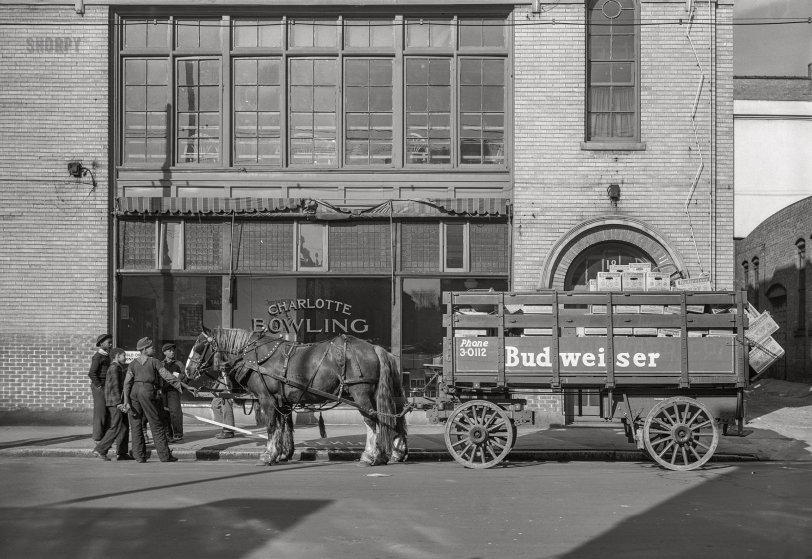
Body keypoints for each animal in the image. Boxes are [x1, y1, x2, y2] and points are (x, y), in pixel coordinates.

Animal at [186, 328, 410, 468]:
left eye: (199, 347)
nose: (187, 370)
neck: (254, 357)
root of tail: (374, 348)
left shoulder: (267, 399)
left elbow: (271, 426)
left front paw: (268, 455)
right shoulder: (281, 400)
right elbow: (284, 426)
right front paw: (282, 453)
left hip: (360, 393)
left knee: (372, 421)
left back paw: (370, 456)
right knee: (394, 419)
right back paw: (395, 452)